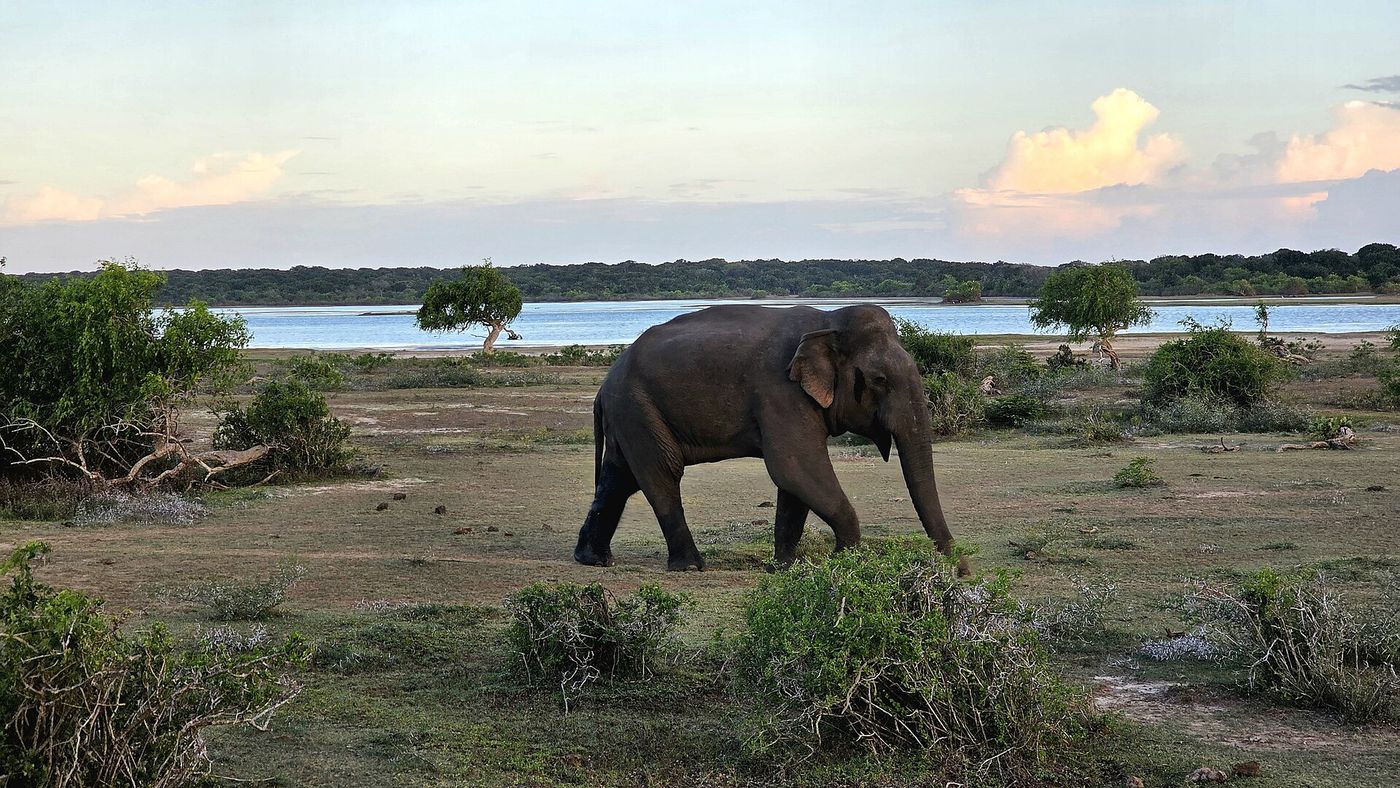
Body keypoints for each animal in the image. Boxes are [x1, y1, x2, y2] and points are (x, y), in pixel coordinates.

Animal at [573, 303, 967, 574]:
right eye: (880, 380)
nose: (961, 570)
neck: (827, 322)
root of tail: (604, 385)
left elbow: (794, 481)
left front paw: (784, 567)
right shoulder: (780, 391)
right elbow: (794, 466)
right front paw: (846, 559)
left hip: (632, 415)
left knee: (618, 478)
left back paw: (594, 559)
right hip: (637, 407)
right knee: (661, 474)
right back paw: (691, 566)